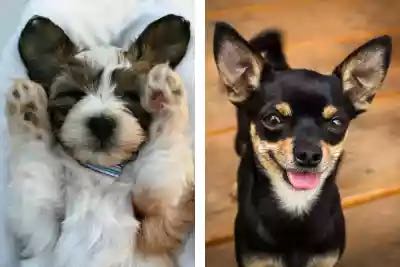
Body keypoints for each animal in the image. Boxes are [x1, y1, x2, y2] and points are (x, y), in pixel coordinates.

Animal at [6, 14, 192, 267]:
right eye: (74, 95)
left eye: (131, 96)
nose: (102, 124)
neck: (100, 174)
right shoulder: (42, 225)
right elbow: (34, 163)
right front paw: (28, 107)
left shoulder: (158, 217)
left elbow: (163, 156)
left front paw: (165, 94)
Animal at [214, 22, 392, 267]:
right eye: (272, 119)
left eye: (337, 123)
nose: (308, 154)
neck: (296, 203)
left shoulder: (324, 261)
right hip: (239, 140)